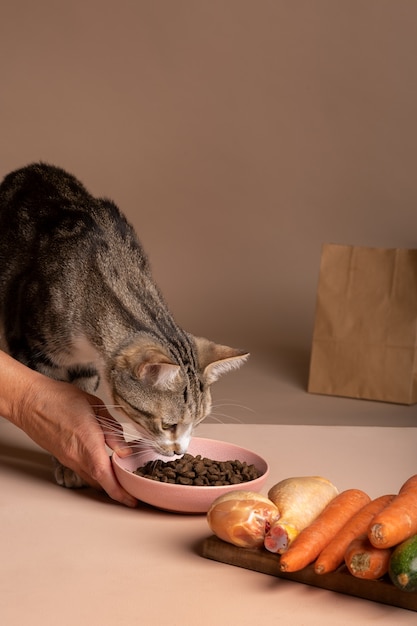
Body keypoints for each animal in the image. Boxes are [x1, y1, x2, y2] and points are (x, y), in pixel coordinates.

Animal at [0, 163, 247, 486]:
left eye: (199, 421)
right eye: (168, 424)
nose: (180, 452)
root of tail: (30, 169)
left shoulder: (87, 367)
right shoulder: (36, 352)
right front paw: (67, 462)